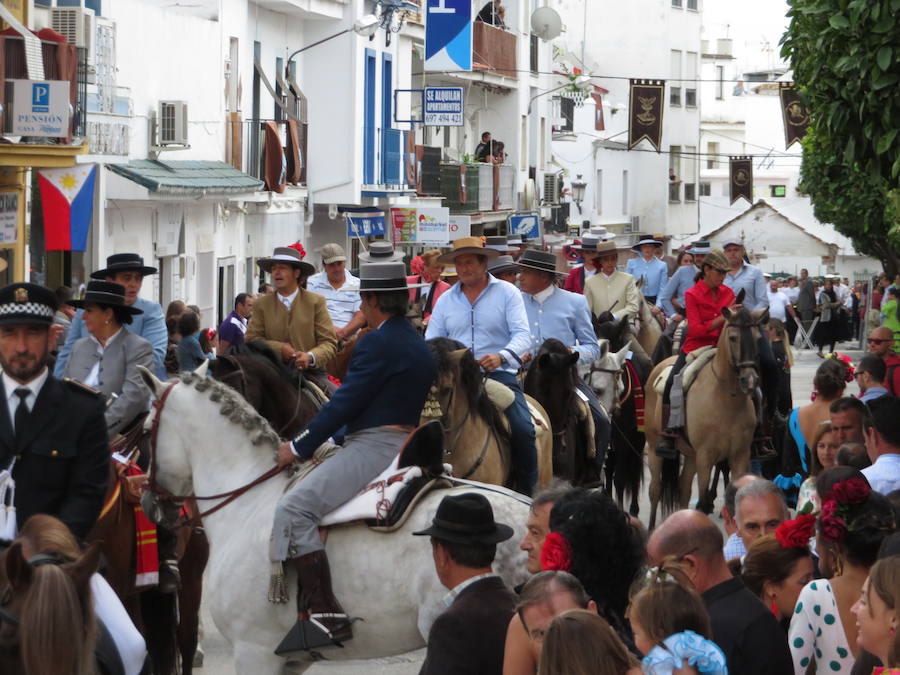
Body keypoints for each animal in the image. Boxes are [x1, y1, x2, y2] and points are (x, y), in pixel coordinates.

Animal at [644, 302, 768, 528]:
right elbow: (702, 501)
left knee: (684, 488)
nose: (750, 380)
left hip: (691, 455)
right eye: (733, 337)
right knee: (655, 489)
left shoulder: (739, 455)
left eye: (757, 338)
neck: (726, 398)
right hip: (655, 446)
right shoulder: (705, 456)